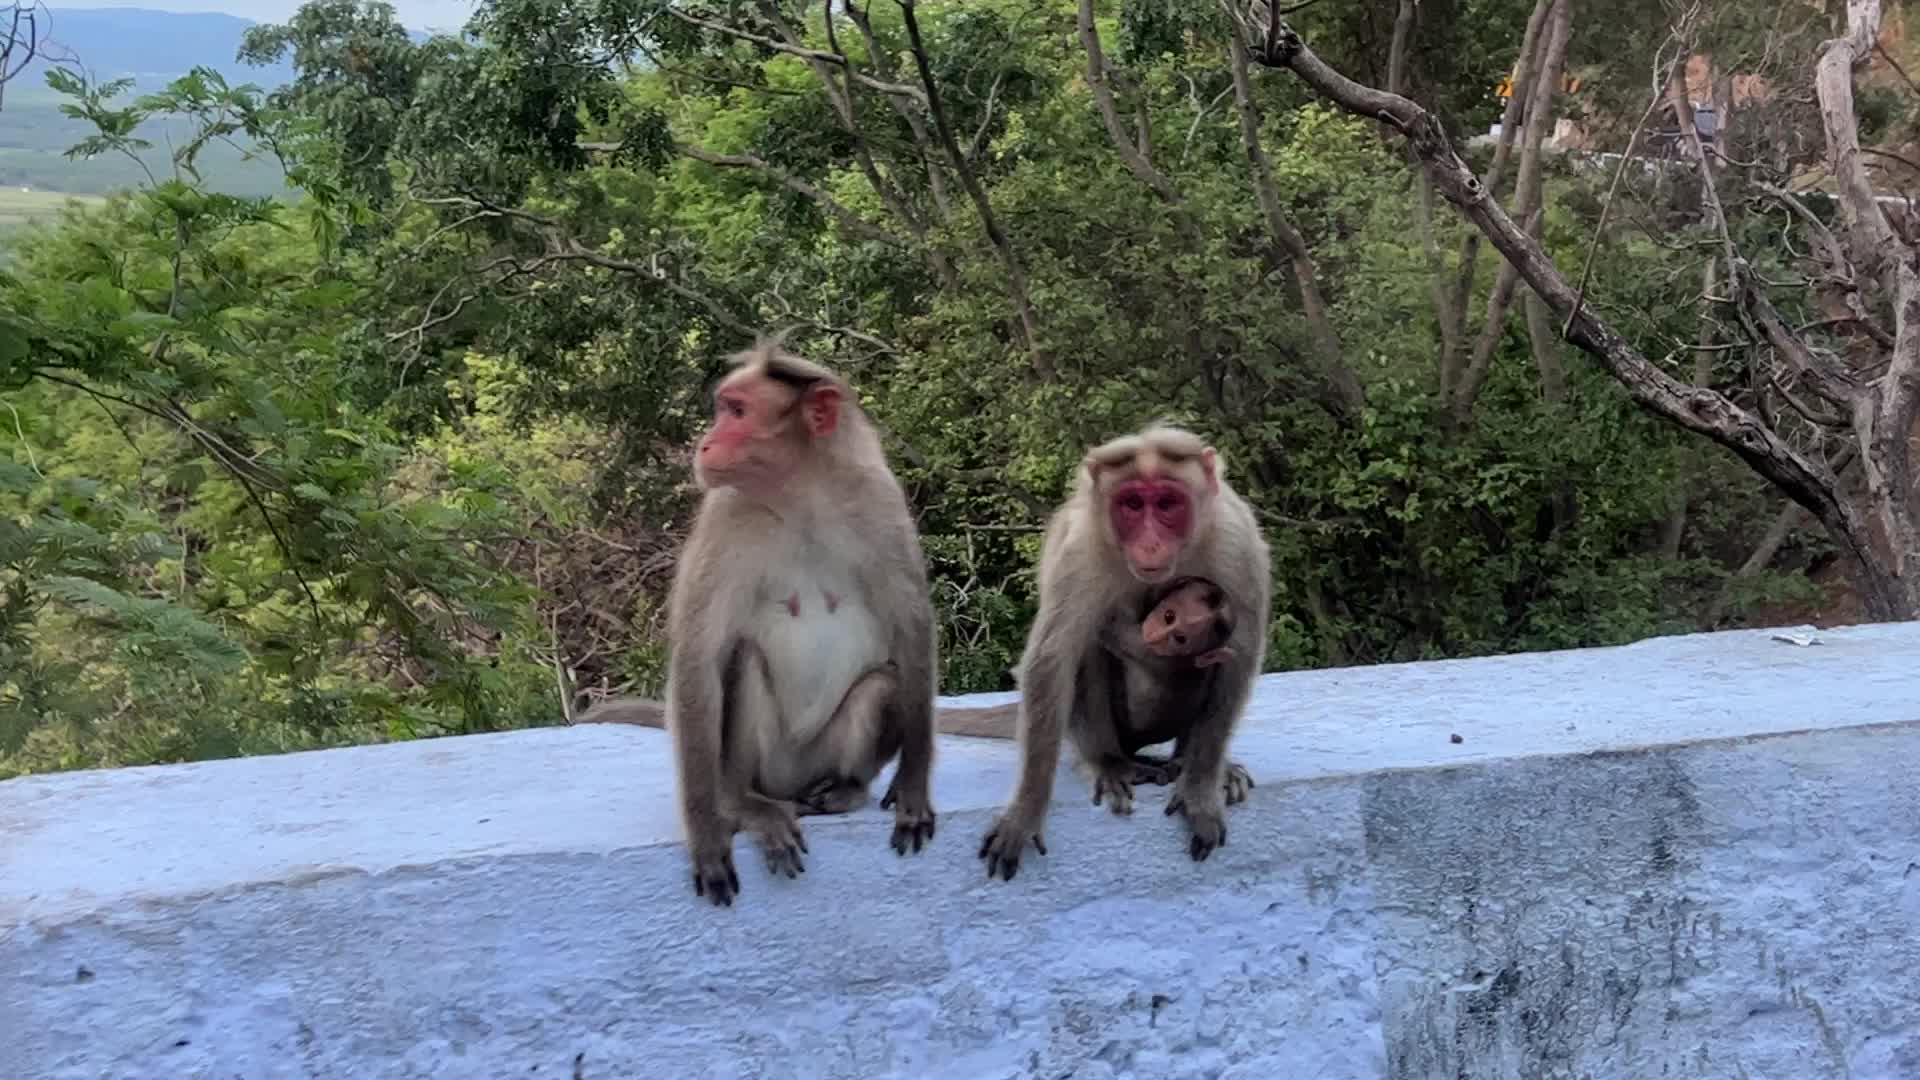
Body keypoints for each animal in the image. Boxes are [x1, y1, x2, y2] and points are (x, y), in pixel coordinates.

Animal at [657, 339, 938, 907]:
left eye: (737, 411)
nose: (705, 444)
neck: (800, 495)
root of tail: (789, 787)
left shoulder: (879, 502)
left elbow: (912, 632)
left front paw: (912, 786)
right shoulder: (724, 517)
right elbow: (699, 658)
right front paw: (705, 831)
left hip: (818, 757)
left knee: (882, 684)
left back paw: (845, 790)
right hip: (769, 765)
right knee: (743, 659)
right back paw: (742, 803)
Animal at [977, 425, 1271, 881]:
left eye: (1166, 504)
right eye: (1132, 505)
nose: (1150, 544)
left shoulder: (1234, 539)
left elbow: (1237, 656)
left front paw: (1201, 787)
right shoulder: (1080, 550)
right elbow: (1052, 659)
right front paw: (1025, 811)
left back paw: (1190, 762)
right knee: (1086, 647)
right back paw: (1110, 762)